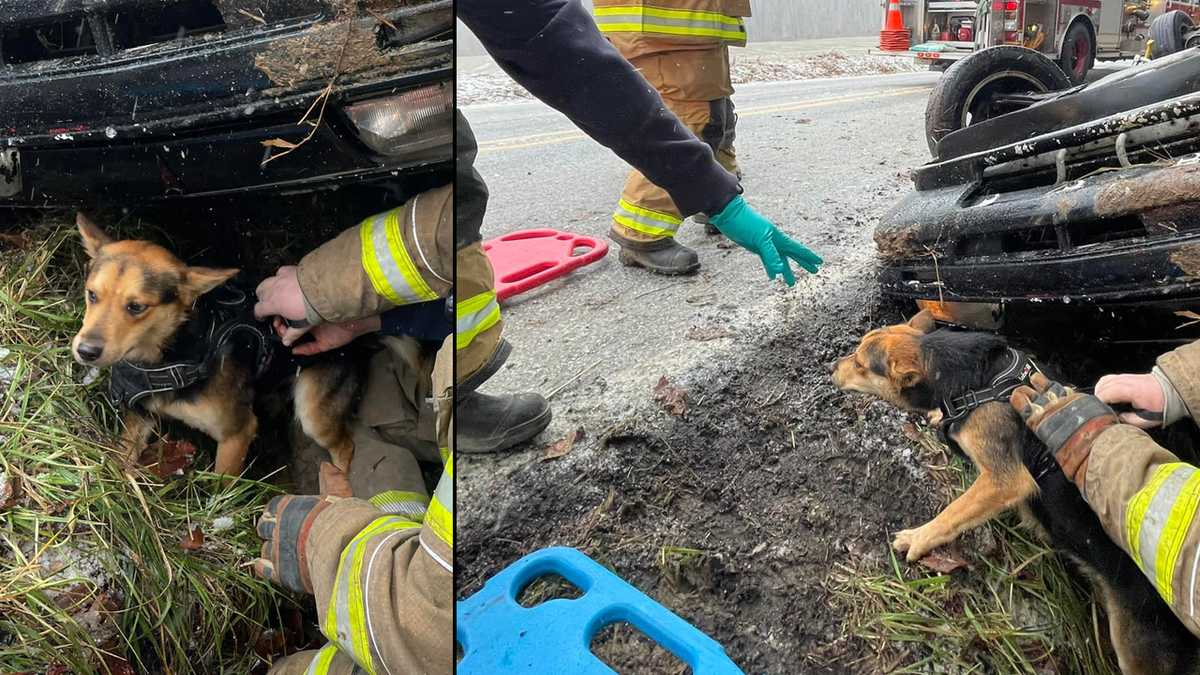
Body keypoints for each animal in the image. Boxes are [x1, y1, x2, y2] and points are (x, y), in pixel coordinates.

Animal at [70, 212, 357, 475]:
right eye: (91, 294)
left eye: (136, 307)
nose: (86, 351)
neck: (171, 354)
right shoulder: (141, 416)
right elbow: (122, 460)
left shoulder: (237, 433)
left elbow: (222, 486)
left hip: (314, 413)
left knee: (345, 447)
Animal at [835, 309, 1200, 672]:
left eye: (860, 363)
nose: (832, 368)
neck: (969, 379)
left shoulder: (1004, 479)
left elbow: (954, 512)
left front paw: (918, 538)